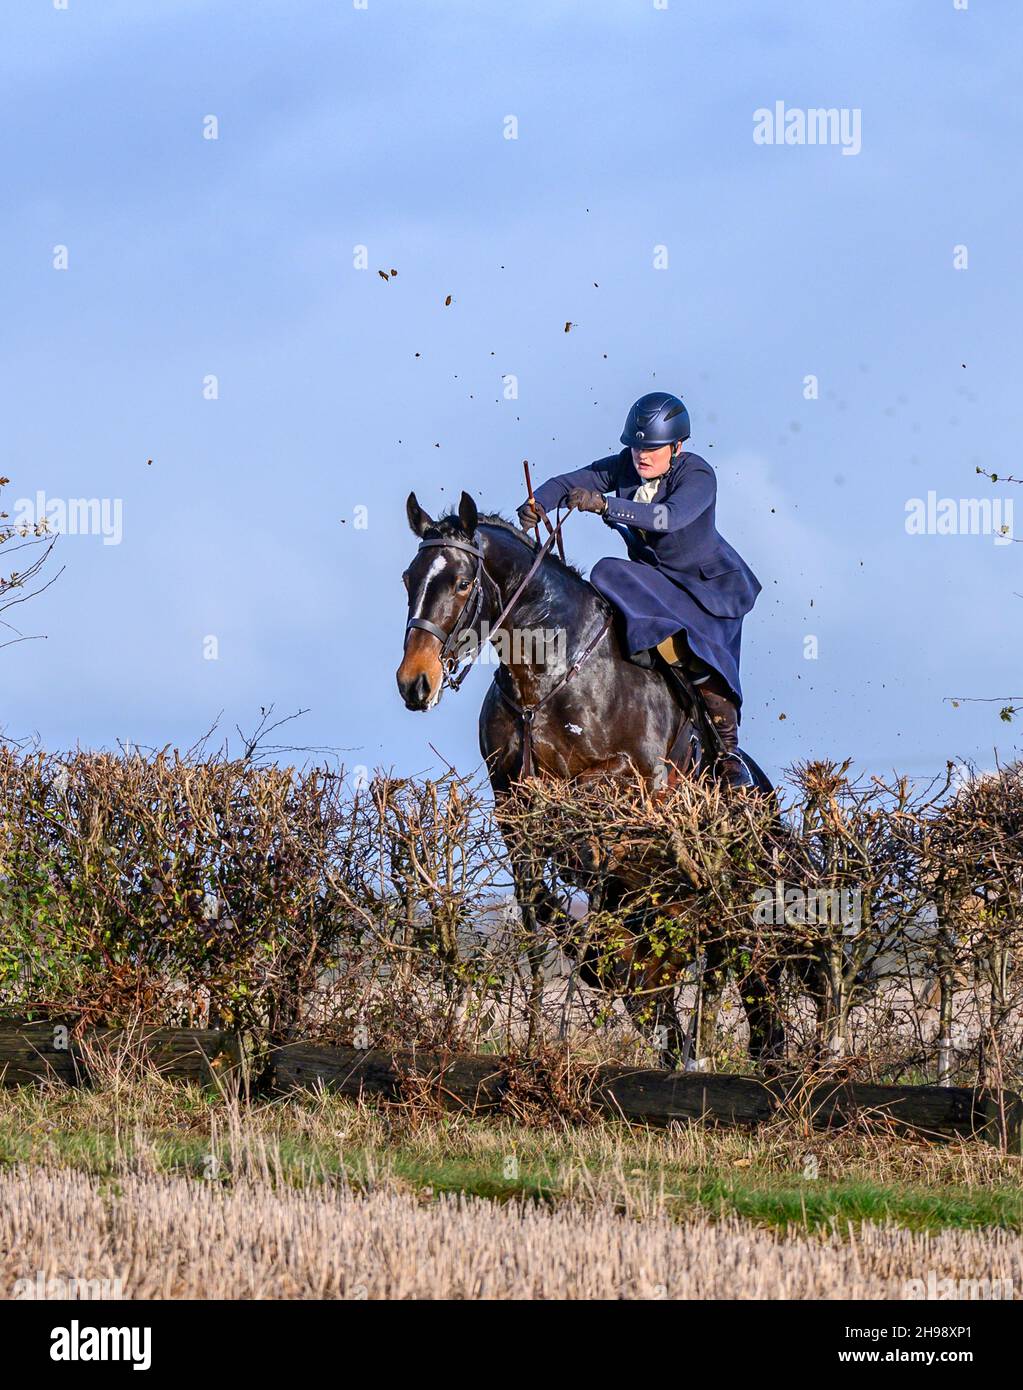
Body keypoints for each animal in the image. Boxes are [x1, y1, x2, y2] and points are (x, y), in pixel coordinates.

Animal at [394, 494, 783, 1067]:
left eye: (463, 583)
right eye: (408, 578)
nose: (415, 684)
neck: (546, 679)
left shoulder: (641, 778)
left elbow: (584, 797)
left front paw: (584, 861)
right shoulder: (510, 805)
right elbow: (535, 906)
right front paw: (550, 1009)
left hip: (731, 885)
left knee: (745, 962)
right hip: (658, 922)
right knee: (657, 989)